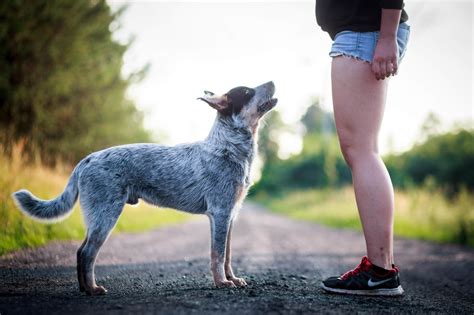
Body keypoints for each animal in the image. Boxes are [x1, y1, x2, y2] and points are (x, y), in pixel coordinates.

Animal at [12, 80, 278, 296]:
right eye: (247, 91)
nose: (273, 81)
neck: (228, 148)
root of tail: (87, 159)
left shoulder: (231, 215)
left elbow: (228, 255)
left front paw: (233, 278)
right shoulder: (220, 213)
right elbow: (218, 255)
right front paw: (222, 282)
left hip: (97, 217)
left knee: (80, 252)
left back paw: (85, 289)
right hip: (106, 215)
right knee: (86, 253)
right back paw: (93, 289)